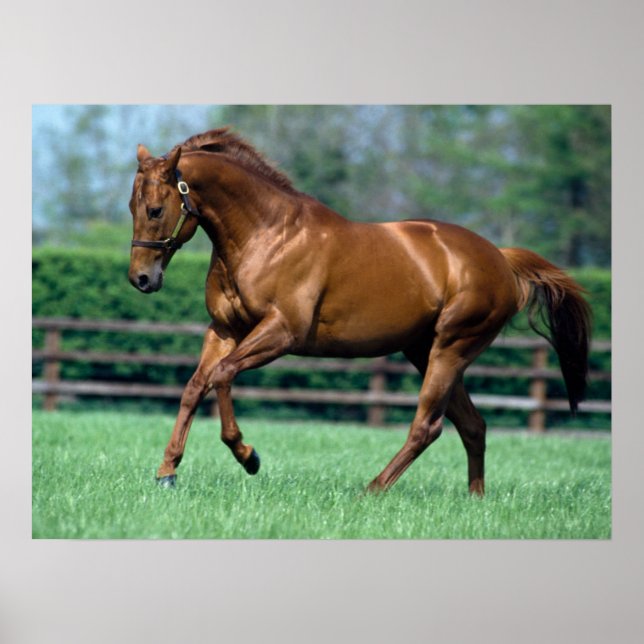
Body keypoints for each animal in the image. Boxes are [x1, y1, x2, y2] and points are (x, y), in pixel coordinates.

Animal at [128, 128, 591, 494]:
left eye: (155, 209)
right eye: (132, 208)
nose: (141, 279)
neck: (267, 235)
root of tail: (500, 259)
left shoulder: (281, 332)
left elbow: (222, 376)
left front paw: (248, 456)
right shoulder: (224, 329)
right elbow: (194, 387)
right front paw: (167, 472)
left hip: (451, 349)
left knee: (428, 426)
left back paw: (373, 490)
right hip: (424, 351)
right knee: (473, 426)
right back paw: (474, 499)